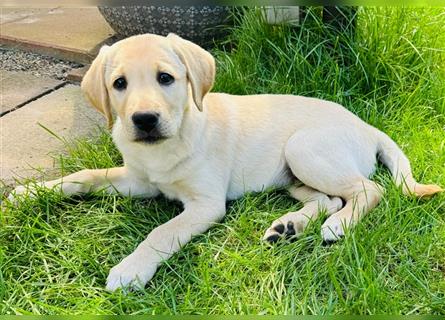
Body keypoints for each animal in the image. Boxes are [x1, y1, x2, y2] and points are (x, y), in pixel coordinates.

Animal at [8, 33, 442, 292]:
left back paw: (338, 225)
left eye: (166, 78)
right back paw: (289, 226)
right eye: (119, 84)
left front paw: (131, 269)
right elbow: (85, 175)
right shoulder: (139, 180)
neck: (168, 143)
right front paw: (30, 192)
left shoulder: (206, 203)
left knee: (369, 189)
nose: (144, 120)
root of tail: (366, 126)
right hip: (293, 173)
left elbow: (162, 232)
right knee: (328, 198)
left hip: (304, 148)